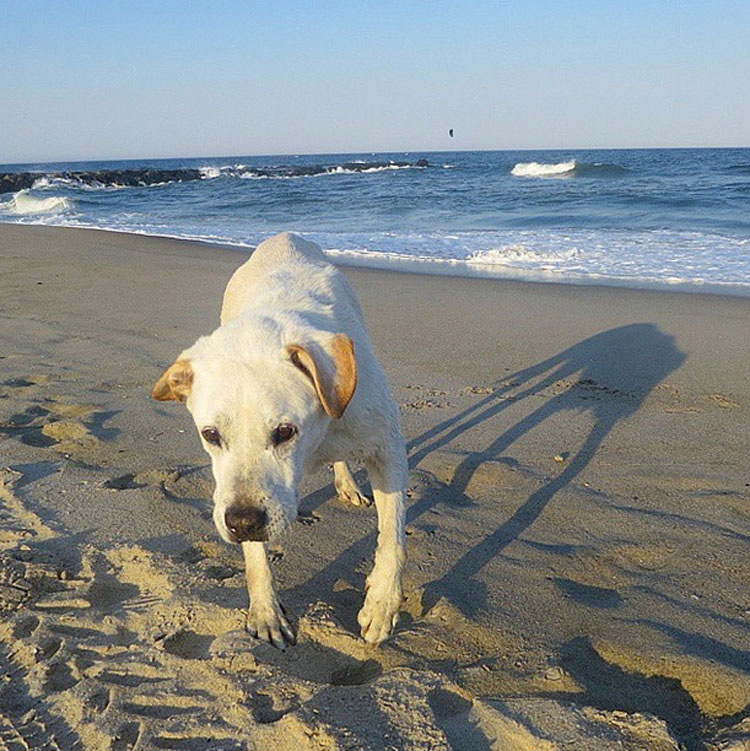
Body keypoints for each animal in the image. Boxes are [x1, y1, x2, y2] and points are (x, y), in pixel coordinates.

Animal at [153, 232, 408, 648]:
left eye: (285, 431)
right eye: (211, 434)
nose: (241, 523)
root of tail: (283, 237)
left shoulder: (387, 446)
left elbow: (393, 537)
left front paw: (382, 605)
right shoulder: (243, 494)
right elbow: (256, 557)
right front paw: (266, 612)